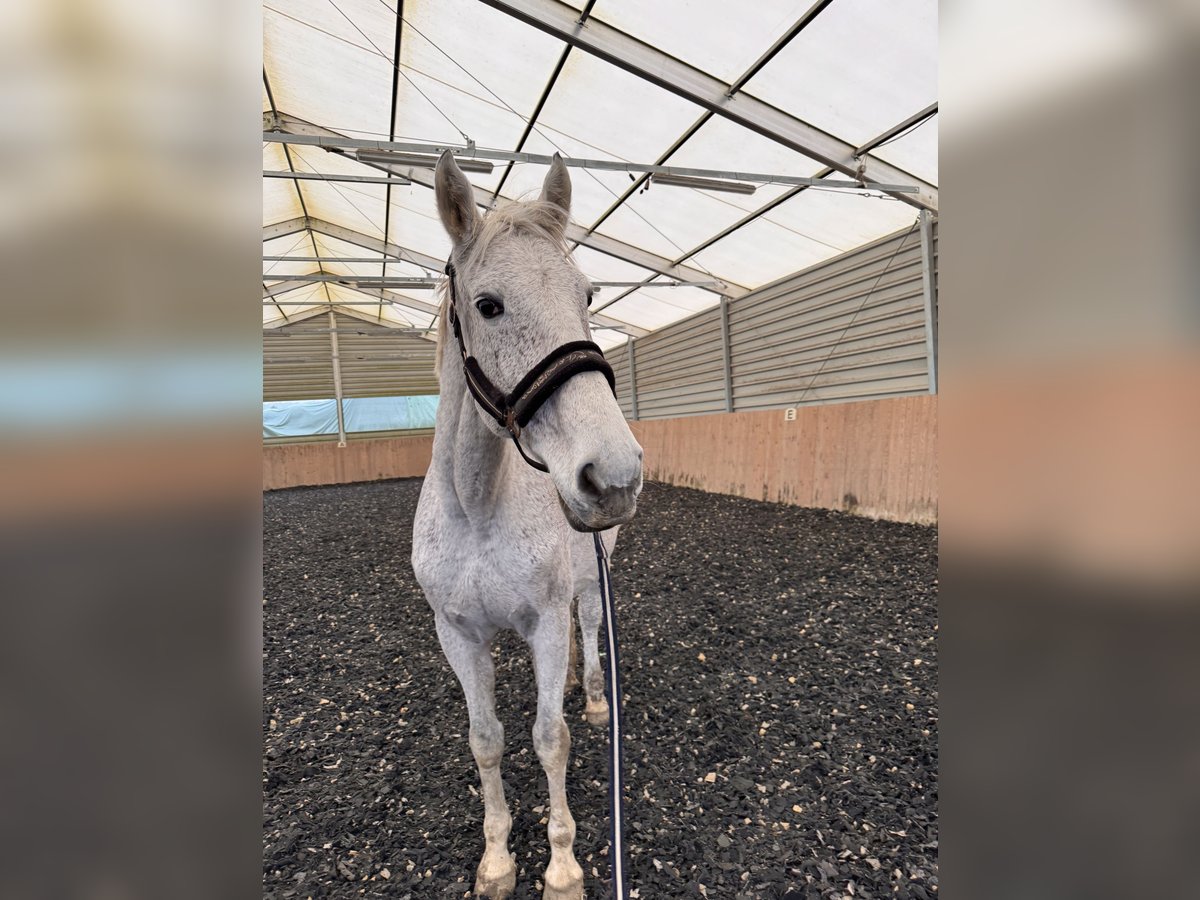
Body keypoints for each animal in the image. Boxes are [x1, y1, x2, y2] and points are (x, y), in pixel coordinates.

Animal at [412, 154, 643, 900]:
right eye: (489, 305)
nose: (614, 474)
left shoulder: (543, 620)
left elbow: (551, 738)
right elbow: (486, 739)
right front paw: (497, 861)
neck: (477, 507)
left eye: (588, 294)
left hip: (595, 572)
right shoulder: (457, 633)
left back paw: (593, 695)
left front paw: (563, 868)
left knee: (590, 624)